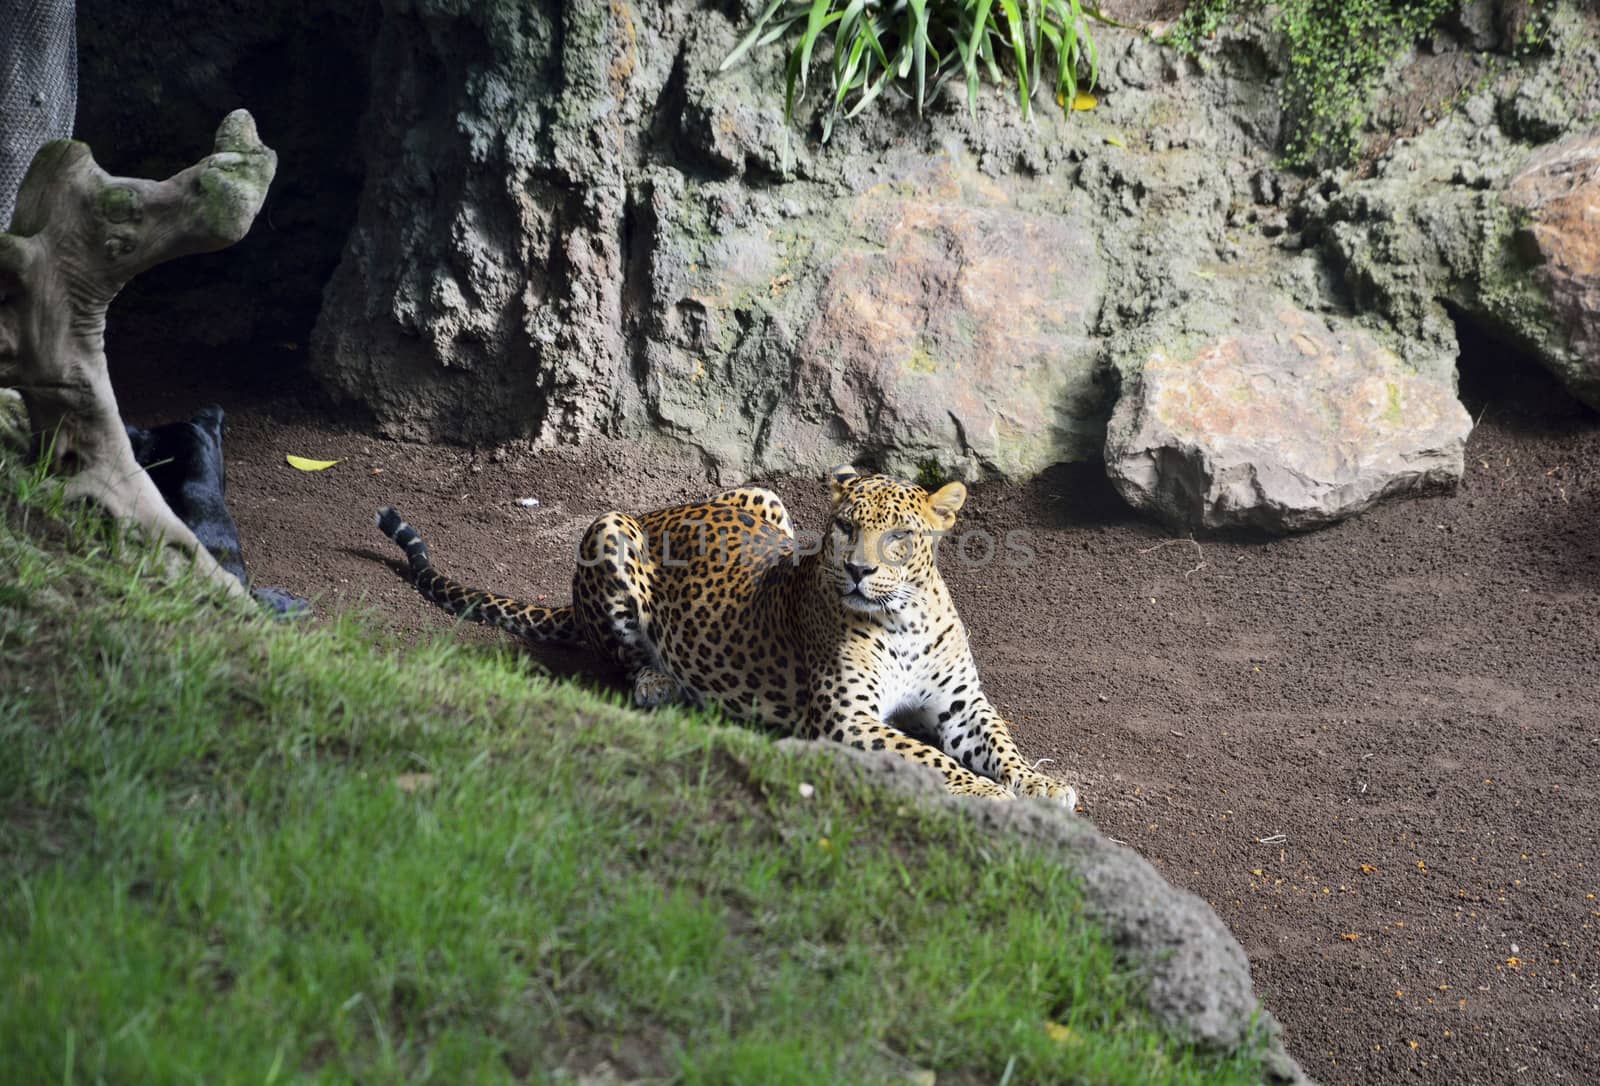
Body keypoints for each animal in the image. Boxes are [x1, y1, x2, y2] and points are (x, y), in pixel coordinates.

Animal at [374, 467, 1075, 806]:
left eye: (901, 538)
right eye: (845, 528)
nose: (858, 570)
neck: (903, 617)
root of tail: (664, 509)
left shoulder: (962, 704)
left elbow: (1003, 743)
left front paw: (1041, 785)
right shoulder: (845, 720)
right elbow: (928, 758)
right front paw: (989, 794)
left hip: (762, 494)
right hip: (608, 529)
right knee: (617, 658)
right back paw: (660, 684)